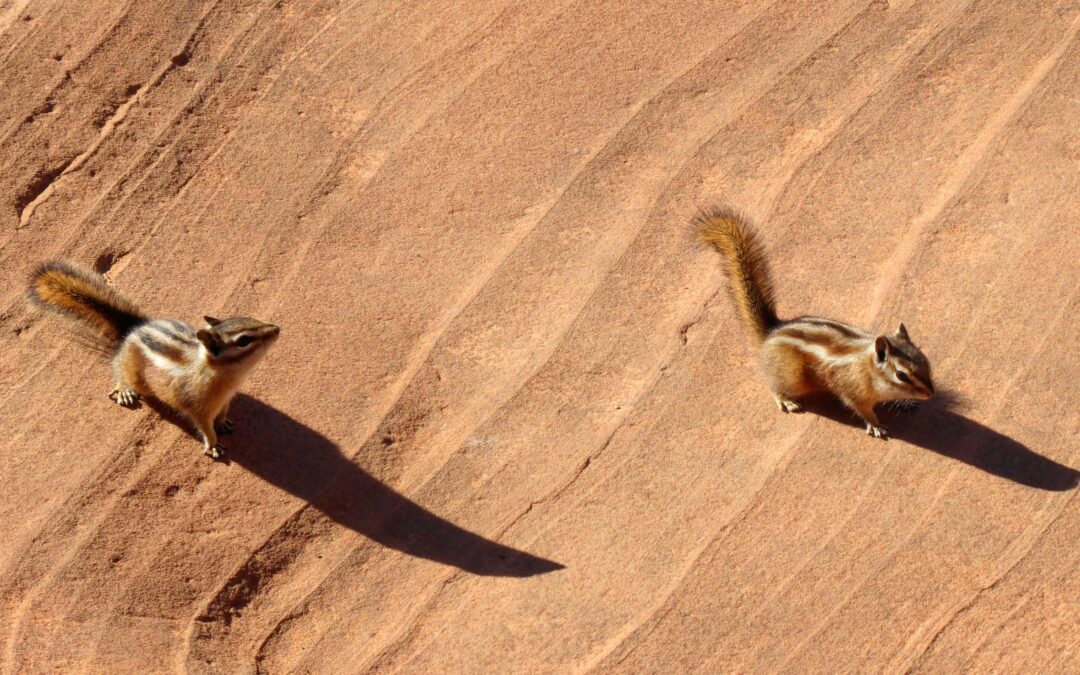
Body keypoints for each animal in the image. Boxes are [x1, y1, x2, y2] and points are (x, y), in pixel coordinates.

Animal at [27, 260, 279, 459]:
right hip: (136, 377)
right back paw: (123, 391)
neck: (224, 375)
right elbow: (206, 429)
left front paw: (224, 422)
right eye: (244, 340)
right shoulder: (199, 410)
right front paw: (214, 445)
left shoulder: (226, 399)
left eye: (248, 317)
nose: (277, 328)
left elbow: (223, 414)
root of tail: (134, 328)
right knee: (118, 370)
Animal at [698, 208, 934, 439]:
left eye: (926, 361)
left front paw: (905, 402)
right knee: (773, 385)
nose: (930, 393)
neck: (867, 369)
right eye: (901, 375)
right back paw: (785, 400)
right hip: (793, 378)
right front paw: (875, 425)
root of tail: (773, 329)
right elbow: (863, 410)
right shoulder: (853, 392)